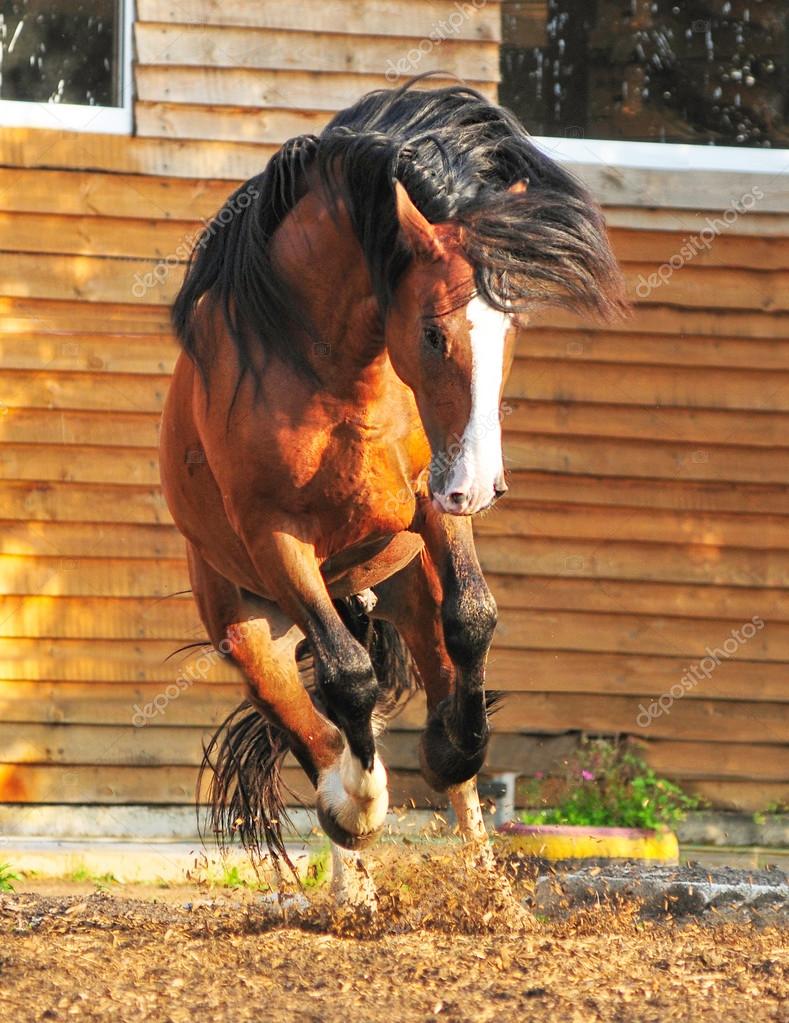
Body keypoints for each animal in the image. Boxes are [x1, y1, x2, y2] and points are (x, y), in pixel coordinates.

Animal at [159, 78, 626, 908]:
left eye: (509, 331)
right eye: (434, 334)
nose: (480, 483)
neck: (333, 374)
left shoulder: (428, 501)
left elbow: (472, 619)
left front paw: (451, 745)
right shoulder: (276, 536)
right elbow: (348, 683)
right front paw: (359, 801)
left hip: (403, 586)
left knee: (416, 668)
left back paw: (486, 891)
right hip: (249, 624)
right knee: (312, 722)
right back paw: (353, 864)